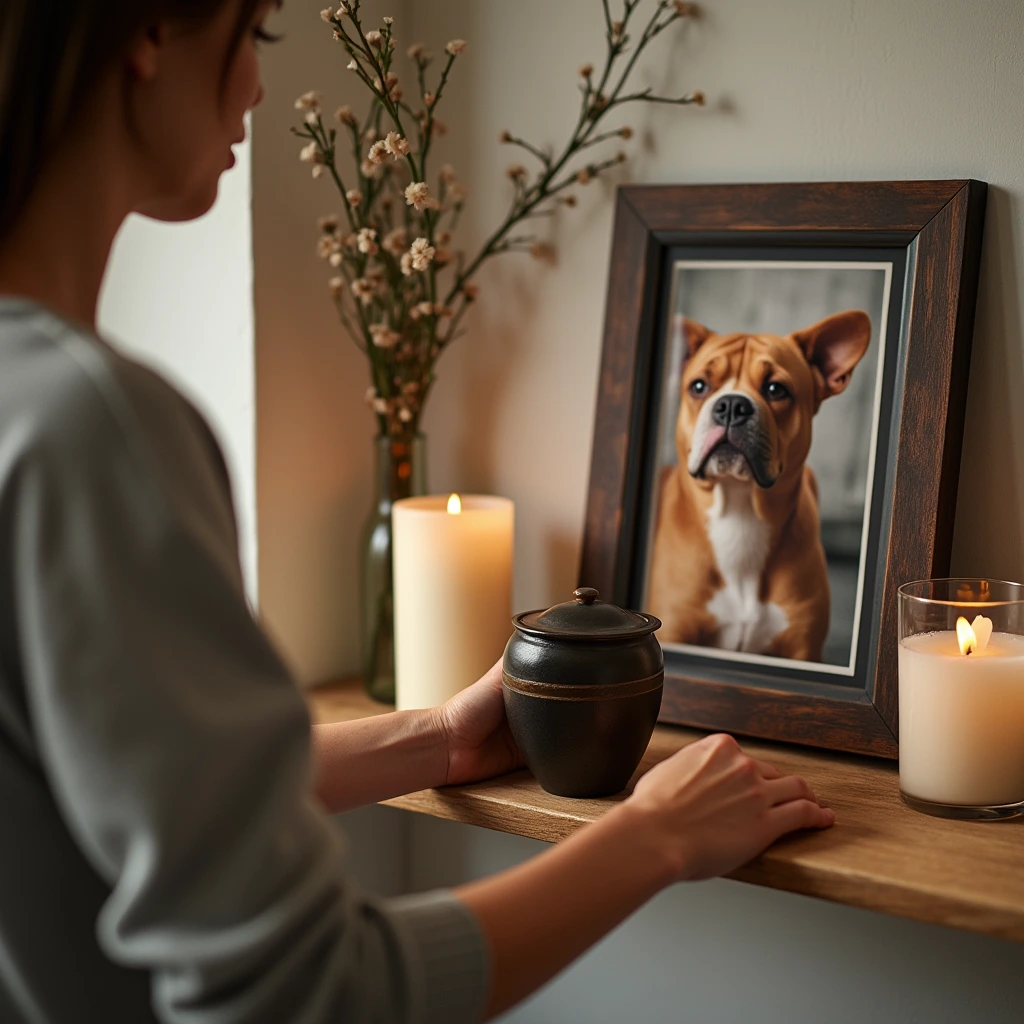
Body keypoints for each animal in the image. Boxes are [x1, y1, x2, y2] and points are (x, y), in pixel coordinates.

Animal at [647, 307, 872, 659]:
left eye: (776, 390)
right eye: (698, 386)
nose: (731, 405)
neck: (740, 510)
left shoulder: (803, 649)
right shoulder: (675, 631)